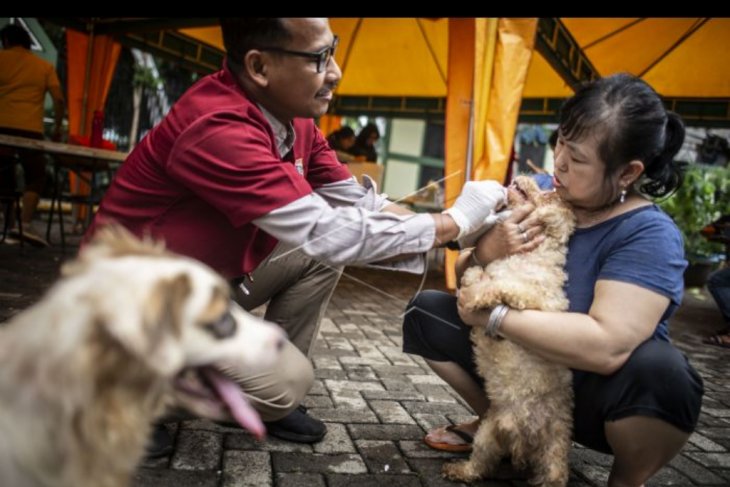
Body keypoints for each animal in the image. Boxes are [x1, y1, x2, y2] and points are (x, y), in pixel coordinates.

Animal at [444, 177, 576, 487]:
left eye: (549, 194)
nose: (523, 178)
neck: (527, 256)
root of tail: (522, 440)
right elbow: (480, 275)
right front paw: (472, 277)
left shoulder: (536, 302)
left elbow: (497, 286)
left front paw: (474, 294)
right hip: (487, 436)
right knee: (479, 466)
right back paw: (459, 470)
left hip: (555, 446)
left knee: (554, 475)